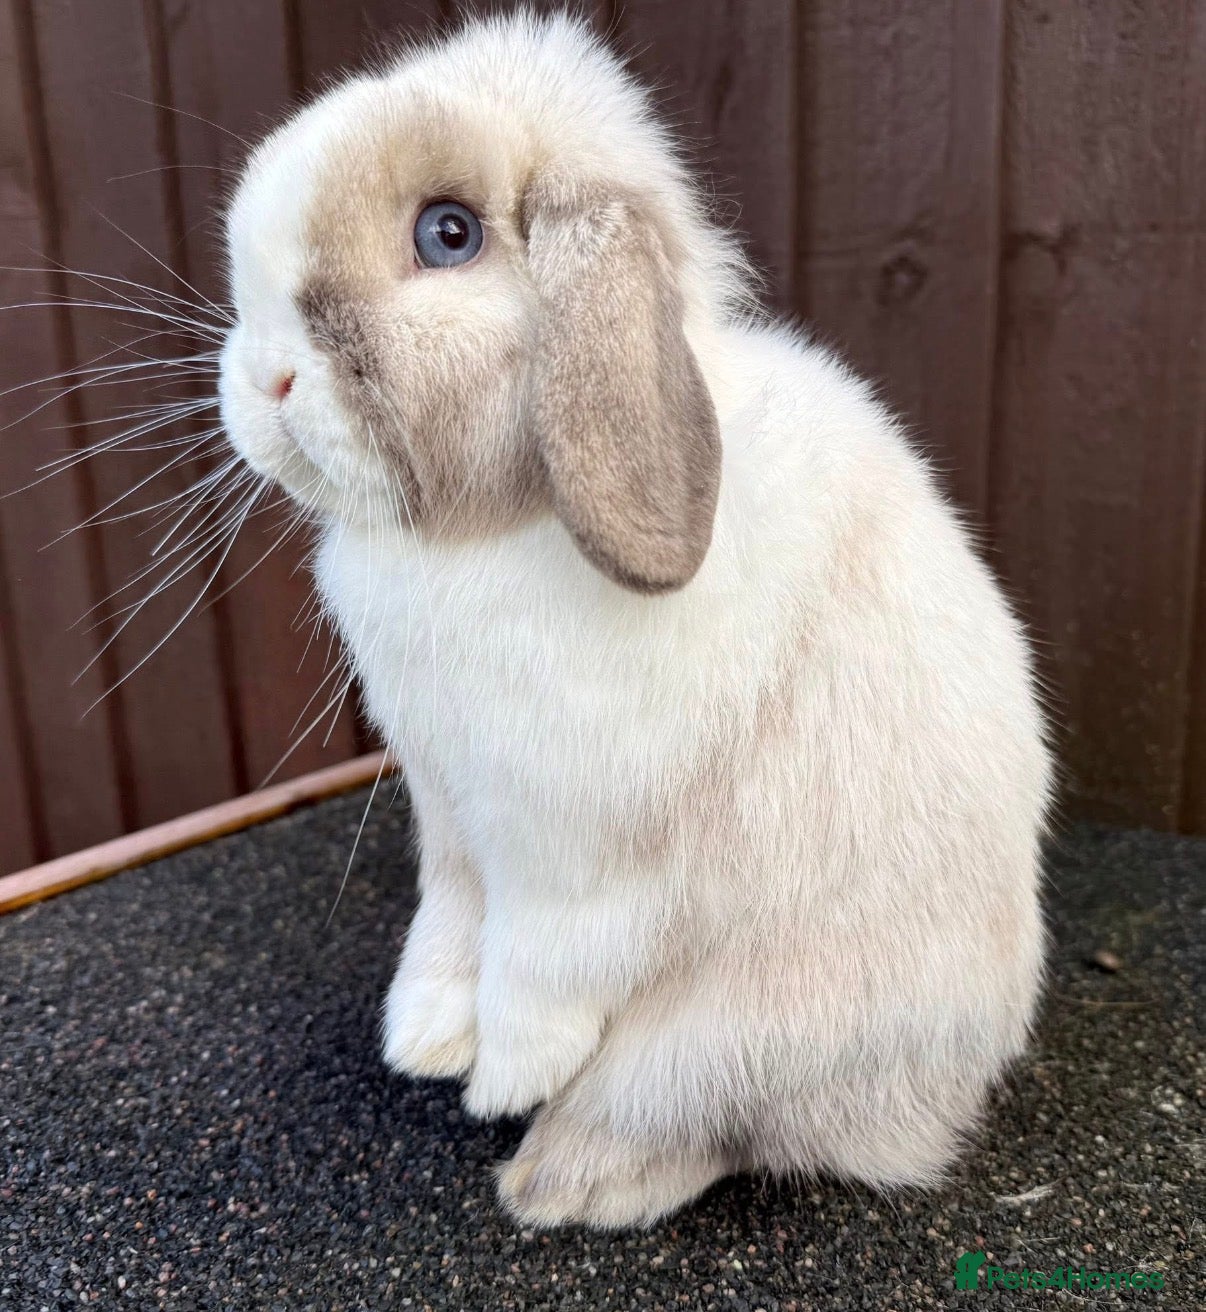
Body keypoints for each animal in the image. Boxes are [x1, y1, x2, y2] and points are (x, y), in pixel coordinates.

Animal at [217, 9, 1052, 1229]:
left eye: (449, 234)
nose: (266, 379)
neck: (489, 532)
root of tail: (959, 1071)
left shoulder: (574, 856)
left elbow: (540, 968)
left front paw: (502, 1075)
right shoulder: (454, 822)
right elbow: (450, 929)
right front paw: (425, 1040)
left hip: (731, 1036)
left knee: (711, 1121)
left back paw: (563, 1179)